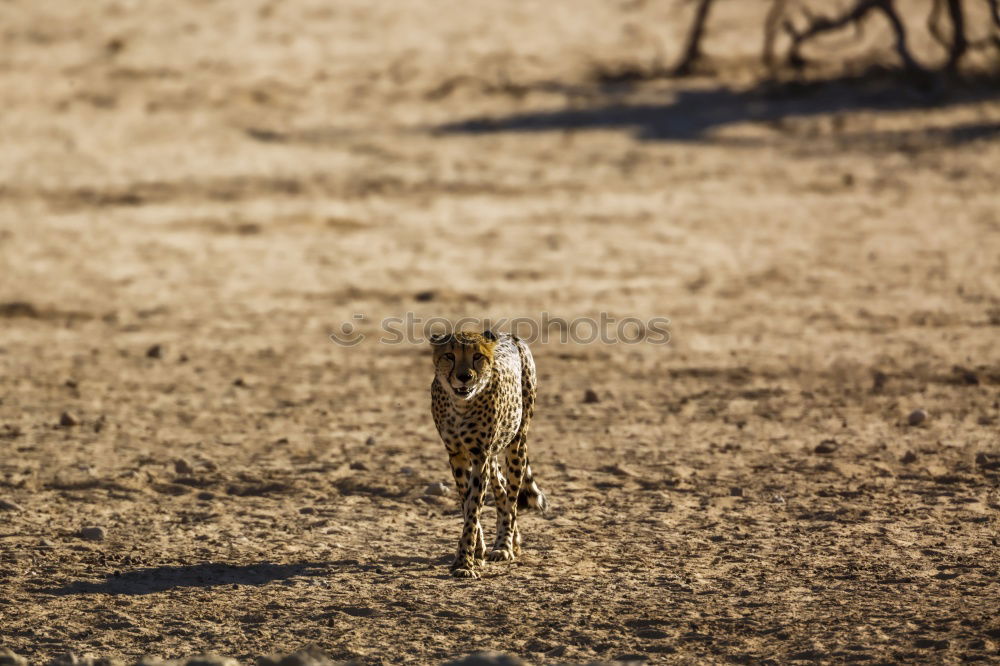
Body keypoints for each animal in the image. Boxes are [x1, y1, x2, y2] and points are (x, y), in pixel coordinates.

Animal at [428, 328, 548, 576]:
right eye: (450, 356)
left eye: (477, 356)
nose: (464, 376)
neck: (460, 405)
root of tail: (509, 334)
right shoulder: (457, 455)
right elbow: (467, 503)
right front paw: (474, 551)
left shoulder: (479, 455)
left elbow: (474, 507)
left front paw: (465, 562)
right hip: (493, 453)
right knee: (500, 487)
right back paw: (509, 542)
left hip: (517, 442)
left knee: (511, 498)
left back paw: (504, 546)